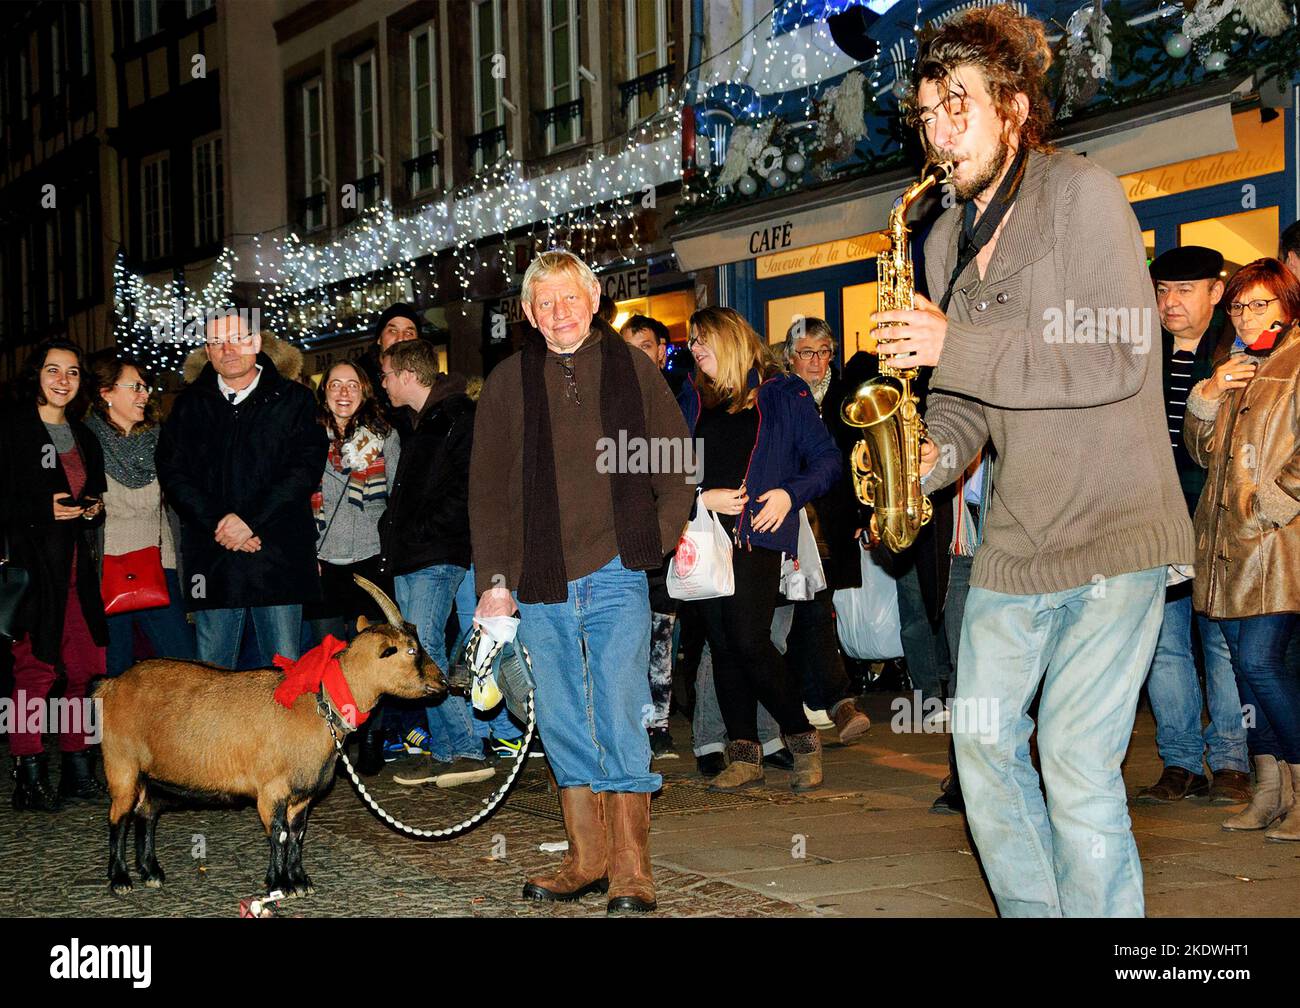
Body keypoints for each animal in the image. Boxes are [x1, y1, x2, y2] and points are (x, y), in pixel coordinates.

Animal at [94, 580, 444, 894]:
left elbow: (298, 832)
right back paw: (120, 879)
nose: (442, 681)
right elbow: (279, 833)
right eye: (411, 650)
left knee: (146, 813)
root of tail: (111, 685)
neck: (320, 702)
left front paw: (300, 881)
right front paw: (278, 884)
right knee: (118, 817)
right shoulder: (271, 789)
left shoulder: (302, 793)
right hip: (122, 764)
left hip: (153, 775)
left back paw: (151, 872)